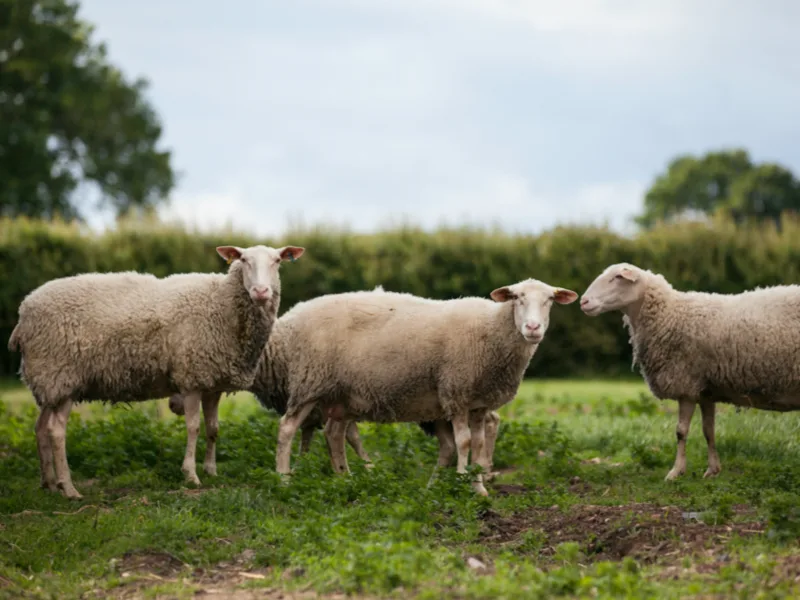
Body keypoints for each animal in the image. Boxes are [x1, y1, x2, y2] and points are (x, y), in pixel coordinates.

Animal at [7, 243, 304, 499]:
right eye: (243, 260)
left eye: (277, 261)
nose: (261, 291)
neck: (221, 304)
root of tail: (24, 314)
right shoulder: (191, 377)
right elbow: (194, 427)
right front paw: (191, 475)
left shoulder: (212, 381)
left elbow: (213, 429)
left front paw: (211, 470)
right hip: (62, 375)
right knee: (56, 431)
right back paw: (69, 488)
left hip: (49, 383)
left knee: (41, 427)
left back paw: (49, 484)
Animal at [273, 278, 578, 495]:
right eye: (517, 298)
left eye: (550, 300)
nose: (533, 327)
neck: (491, 330)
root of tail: (294, 312)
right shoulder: (456, 393)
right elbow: (464, 442)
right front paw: (460, 481)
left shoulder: (478, 403)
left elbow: (479, 444)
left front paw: (479, 488)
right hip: (309, 382)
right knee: (287, 428)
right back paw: (284, 480)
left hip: (342, 396)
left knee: (334, 435)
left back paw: (345, 479)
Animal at [580, 262, 800, 481]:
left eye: (618, 277)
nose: (583, 301)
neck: (670, 315)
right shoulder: (705, 390)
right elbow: (708, 430)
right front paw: (712, 470)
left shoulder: (685, 385)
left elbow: (681, 431)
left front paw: (675, 471)